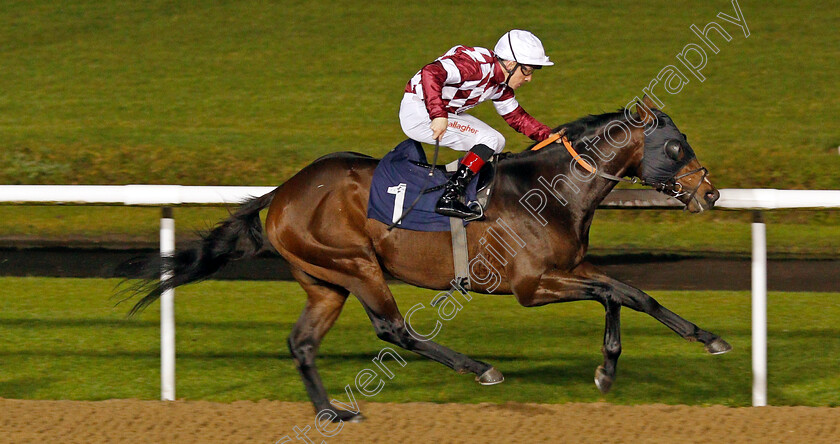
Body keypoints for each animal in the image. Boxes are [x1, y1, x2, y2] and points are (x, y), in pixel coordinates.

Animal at [124, 97, 728, 420]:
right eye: (676, 146)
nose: (710, 192)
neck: (553, 189)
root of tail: (284, 192)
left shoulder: (571, 267)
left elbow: (632, 293)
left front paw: (696, 341)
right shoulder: (532, 286)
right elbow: (614, 292)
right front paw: (610, 368)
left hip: (325, 280)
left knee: (302, 344)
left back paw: (330, 411)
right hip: (357, 265)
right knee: (393, 329)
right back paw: (481, 368)